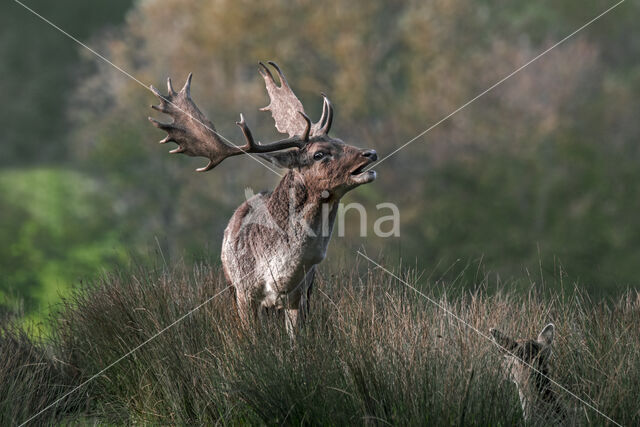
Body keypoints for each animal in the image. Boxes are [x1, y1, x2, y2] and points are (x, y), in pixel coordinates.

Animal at [148, 62, 378, 338]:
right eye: (319, 154)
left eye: (340, 141)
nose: (370, 153)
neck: (279, 273)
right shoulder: (245, 292)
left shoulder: (301, 294)